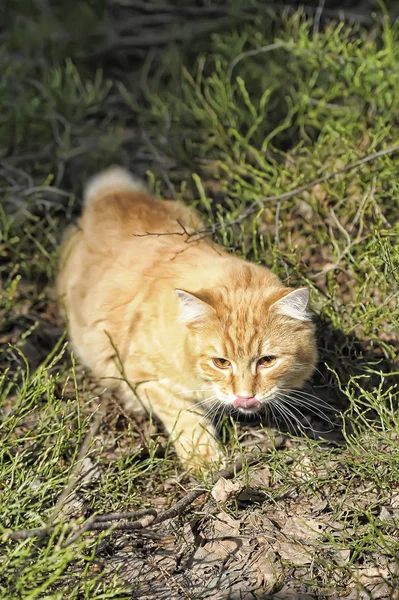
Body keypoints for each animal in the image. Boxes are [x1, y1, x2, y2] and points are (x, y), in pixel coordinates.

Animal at [57, 168, 318, 468]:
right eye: (221, 363)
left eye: (267, 361)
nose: (244, 396)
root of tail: (113, 194)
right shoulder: (145, 376)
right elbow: (186, 418)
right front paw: (206, 461)